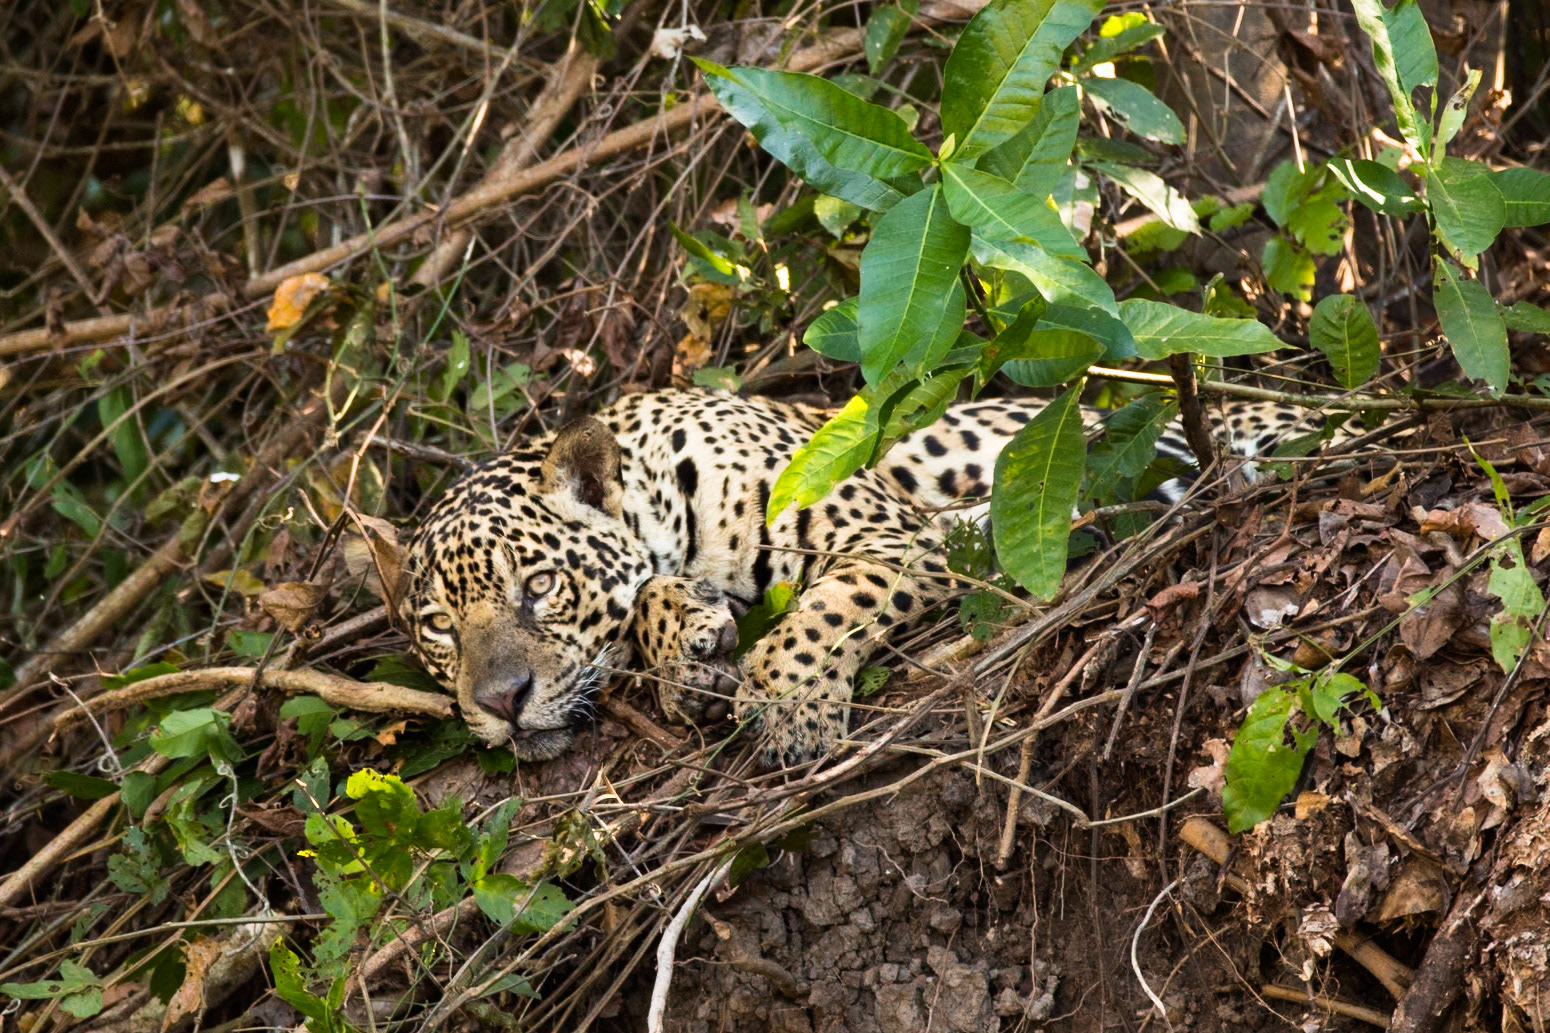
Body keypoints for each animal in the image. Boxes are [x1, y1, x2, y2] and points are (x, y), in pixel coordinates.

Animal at [399, 389, 1343, 766]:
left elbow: (827, 611)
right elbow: (650, 606)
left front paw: (789, 710)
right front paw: (685, 650)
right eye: (441, 627)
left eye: (537, 585)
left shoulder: (899, 538)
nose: (500, 702)